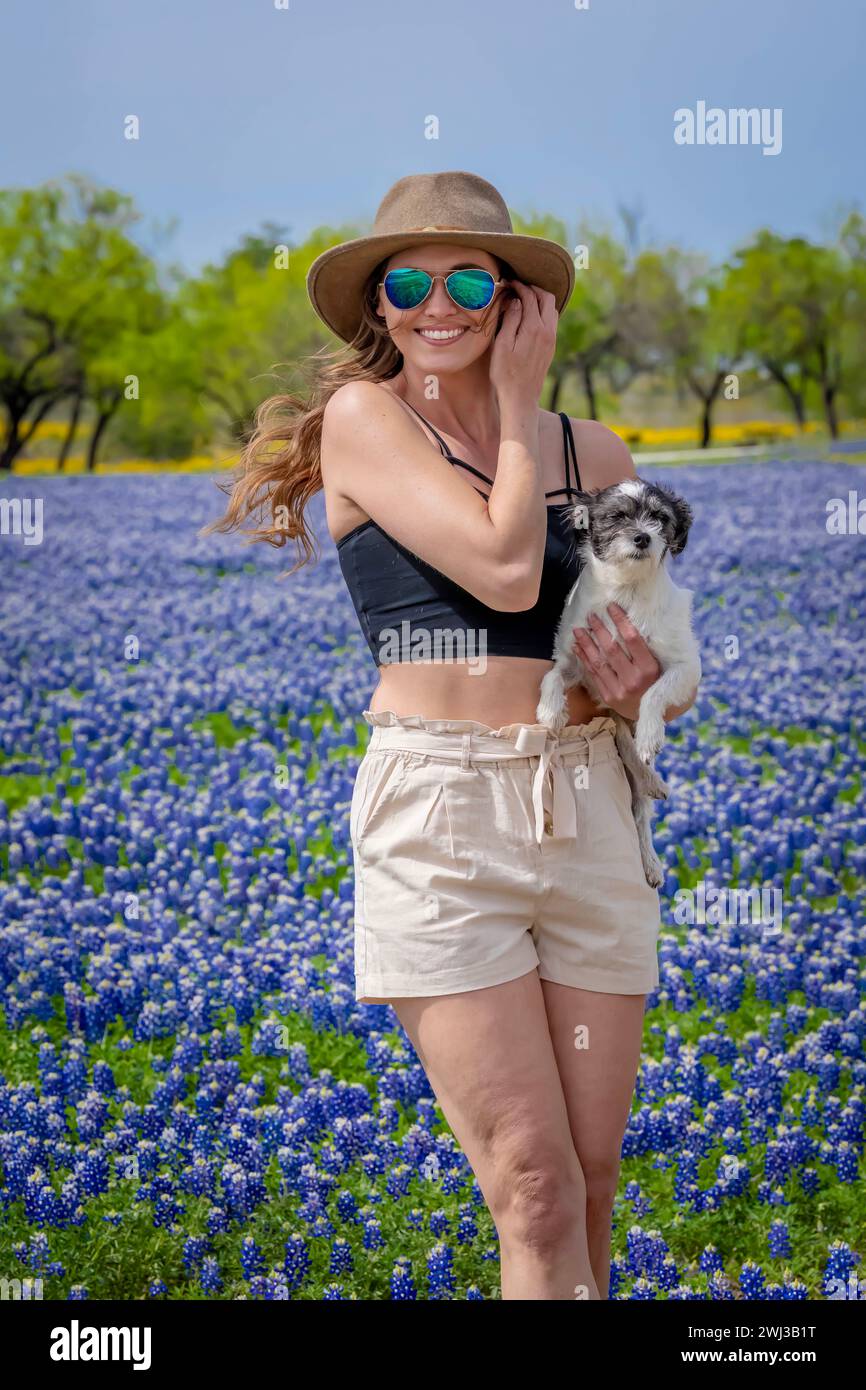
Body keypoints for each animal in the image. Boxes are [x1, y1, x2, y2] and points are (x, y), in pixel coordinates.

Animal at [536, 483, 706, 884]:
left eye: (659, 517)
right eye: (616, 516)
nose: (642, 537)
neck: (625, 593)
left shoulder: (685, 668)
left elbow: (652, 695)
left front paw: (650, 734)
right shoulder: (576, 662)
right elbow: (551, 676)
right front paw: (550, 712)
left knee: (641, 814)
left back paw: (651, 858)